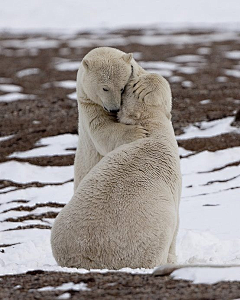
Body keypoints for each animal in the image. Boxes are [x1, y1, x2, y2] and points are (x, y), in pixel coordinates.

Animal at [74, 47, 153, 190]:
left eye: (122, 88)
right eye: (105, 88)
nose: (114, 109)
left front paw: (145, 86)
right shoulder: (88, 103)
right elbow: (101, 130)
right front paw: (138, 133)